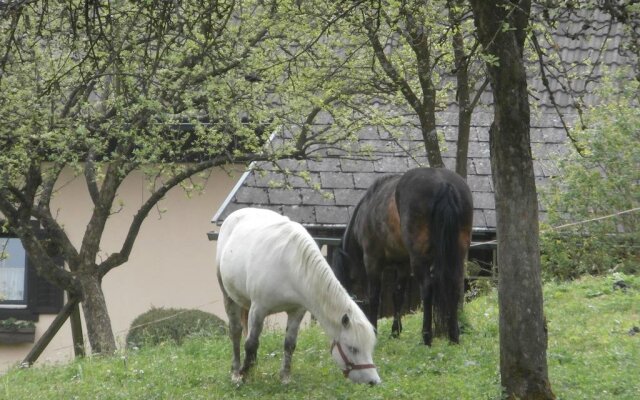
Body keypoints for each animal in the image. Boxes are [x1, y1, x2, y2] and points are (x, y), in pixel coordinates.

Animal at [215, 206, 380, 384]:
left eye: (369, 347)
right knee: (236, 331)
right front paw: (244, 372)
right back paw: (236, 371)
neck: (291, 266)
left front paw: (285, 376)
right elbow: (251, 343)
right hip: (228, 295)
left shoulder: (297, 310)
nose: (373, 381)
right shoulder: (258, 308)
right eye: (353, 348)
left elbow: (290, 343)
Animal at [332, 167, 472, 346]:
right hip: (457, 254)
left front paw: (375, 331)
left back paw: (427, 336)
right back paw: (454, 336)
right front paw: (395, 332)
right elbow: (397, 295)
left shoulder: (372, 260)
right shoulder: (403, 263)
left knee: (427, 288)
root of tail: (444, 184)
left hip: (419, 258)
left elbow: (375, 296)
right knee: (454, 284)